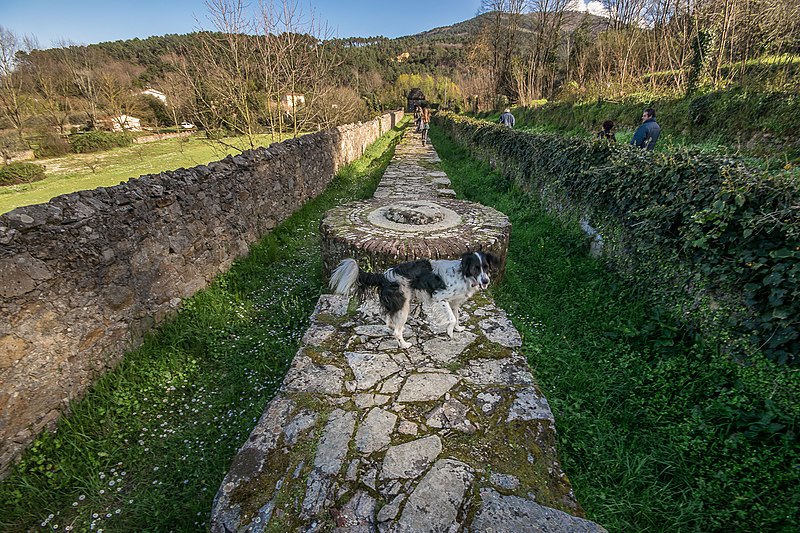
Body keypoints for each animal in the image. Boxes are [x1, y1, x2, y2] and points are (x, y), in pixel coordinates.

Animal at [328, 251, 496, 348]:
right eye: (475, 268)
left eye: (486, 267)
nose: (486, 281)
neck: (463, 273)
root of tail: (384, 276)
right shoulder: (440, 298)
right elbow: (452, 318)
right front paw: (450, 332)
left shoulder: (454, 302)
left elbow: (456, 317)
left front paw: (458, 329)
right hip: (404, 307)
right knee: (396, 331)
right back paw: (404, 345)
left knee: (389, 321)